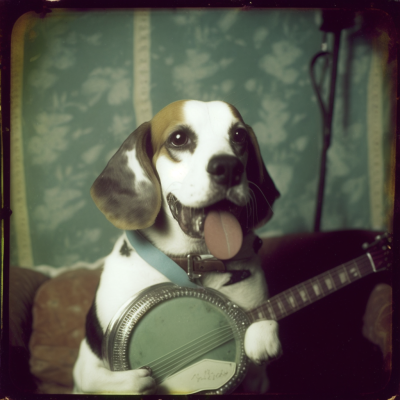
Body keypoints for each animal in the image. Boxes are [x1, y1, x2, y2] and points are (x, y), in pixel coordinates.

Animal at [72, 99, 282, 394]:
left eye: (239, 135)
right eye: (179, 138)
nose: (229, 167)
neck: (194, 259)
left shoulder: (258, 380)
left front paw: (263, 333)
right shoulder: (85, 366)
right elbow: (106, 380)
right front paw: (134, 381)